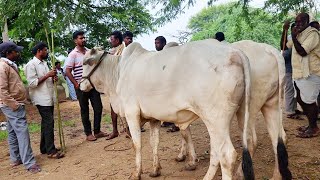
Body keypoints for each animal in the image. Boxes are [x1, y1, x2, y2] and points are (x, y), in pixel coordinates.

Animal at [79, 39, 252, 180]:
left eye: (84, 63)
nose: (80, 85)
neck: (118, 72)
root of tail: (234, 51)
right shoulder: (153, 118)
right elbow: (154, 142)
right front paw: (155, 170)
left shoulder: (131, 113)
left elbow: (137, 144)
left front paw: (136, 173)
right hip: (235, 115)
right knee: (223, 148)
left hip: (215, 118)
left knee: (226, 154)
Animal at [175, 40, 292, 180]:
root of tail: (267, 48)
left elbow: (184, 133)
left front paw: (187, 159)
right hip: (272, 103)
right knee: (279, 138)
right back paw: (276, 175)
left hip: (246, 109)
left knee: (251, 141)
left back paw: (239, 173)